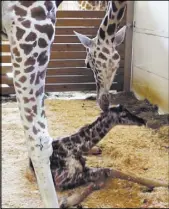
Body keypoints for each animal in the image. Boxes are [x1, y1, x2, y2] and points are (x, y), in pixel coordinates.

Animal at [29, 104, 168, 207]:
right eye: (123, 114)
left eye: (129, 110)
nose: (142, 120)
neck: (73, 148)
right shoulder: (63, 181)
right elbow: (109, 172)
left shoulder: (82, 169)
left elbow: (108, 173)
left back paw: (97, 149)